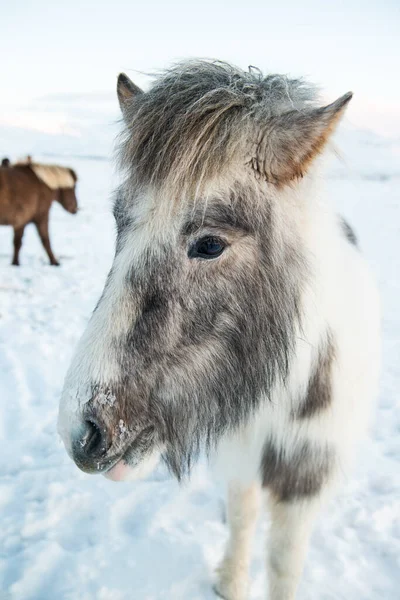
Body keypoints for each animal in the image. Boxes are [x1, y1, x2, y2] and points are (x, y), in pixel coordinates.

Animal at [57, 61, 380, 600]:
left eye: (210, 244)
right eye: (119, 223)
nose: (81, 432)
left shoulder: (306, 474)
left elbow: (284, 561)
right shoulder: (240, 456)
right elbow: (244, 514)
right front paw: (230, 581)